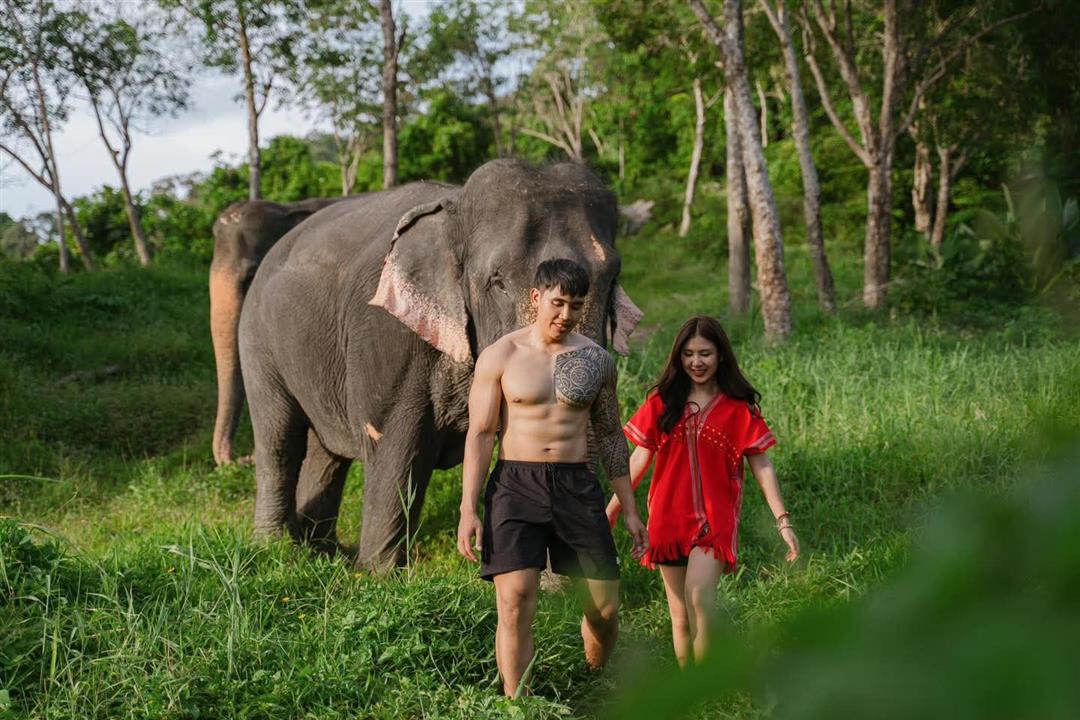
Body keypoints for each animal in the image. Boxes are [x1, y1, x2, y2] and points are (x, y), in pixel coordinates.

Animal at [238, 159, 644, 570]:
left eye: (612, 275)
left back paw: (322, 550)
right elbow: (394, 447)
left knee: (327, 454)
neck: (455, 206)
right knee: (279, 440)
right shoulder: (385, 332)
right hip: (257, 342)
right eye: (497, 281)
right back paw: (276, 546)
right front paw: (378, 574)